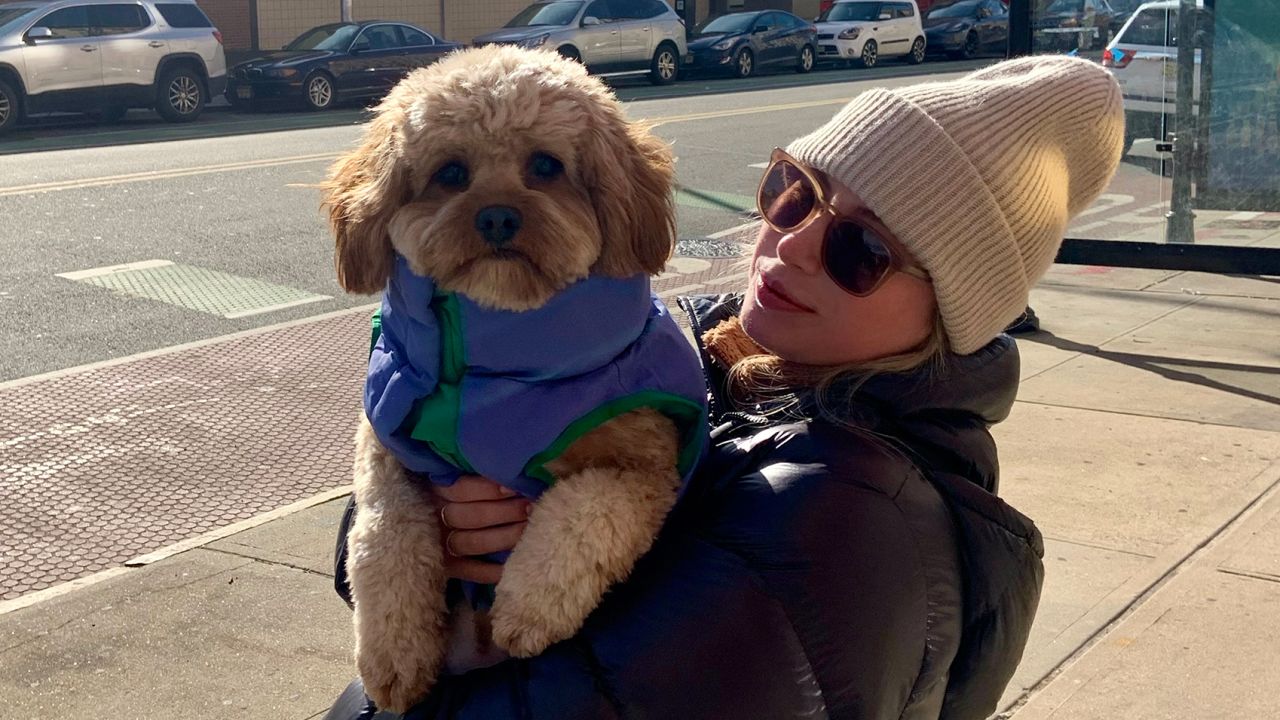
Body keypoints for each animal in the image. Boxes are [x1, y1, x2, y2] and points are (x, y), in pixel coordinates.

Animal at [320, 46, 701, 712]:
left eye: (545, 165)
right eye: (451, 172)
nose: (497, 216)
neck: (497, 361)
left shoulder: (646, 462)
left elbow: (582, 514)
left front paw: (529, 608)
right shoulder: (386, 447)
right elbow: (385, 535)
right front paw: (392, 654)